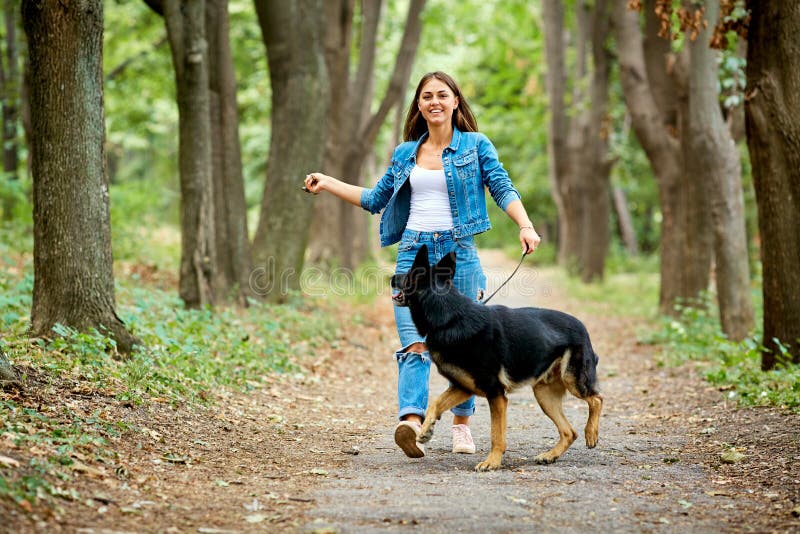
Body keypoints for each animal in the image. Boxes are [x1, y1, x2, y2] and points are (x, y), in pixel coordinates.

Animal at [390, 247, 604, 474]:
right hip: (544, 394)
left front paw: (492, 462)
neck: (449, 318)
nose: (391, 278)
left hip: (573, 381)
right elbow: (435, 403)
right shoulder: (463, 387)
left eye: (408, 273)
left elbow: (496, 434)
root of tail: (582, 327)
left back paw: (591, 433)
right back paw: (549, 455)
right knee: (569, 431)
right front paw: (425, 430)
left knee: (597, 399)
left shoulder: (496, 394)